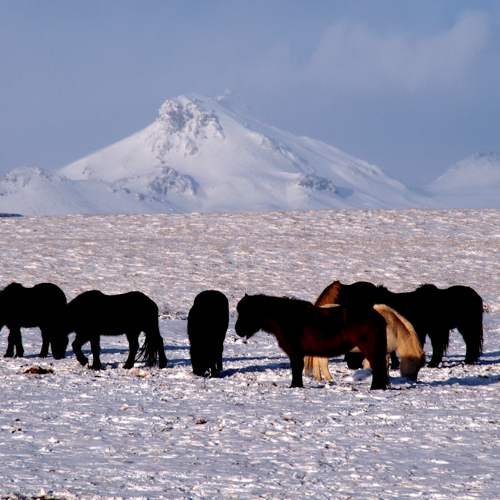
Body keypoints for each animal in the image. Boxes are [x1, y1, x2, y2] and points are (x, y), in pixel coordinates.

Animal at [233, 292, 386, 390]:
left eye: (247, 312)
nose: (237, 330)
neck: (285, 318)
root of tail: (377, 316)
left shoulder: (295, 353)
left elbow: (296, 370)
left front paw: (295, 386)